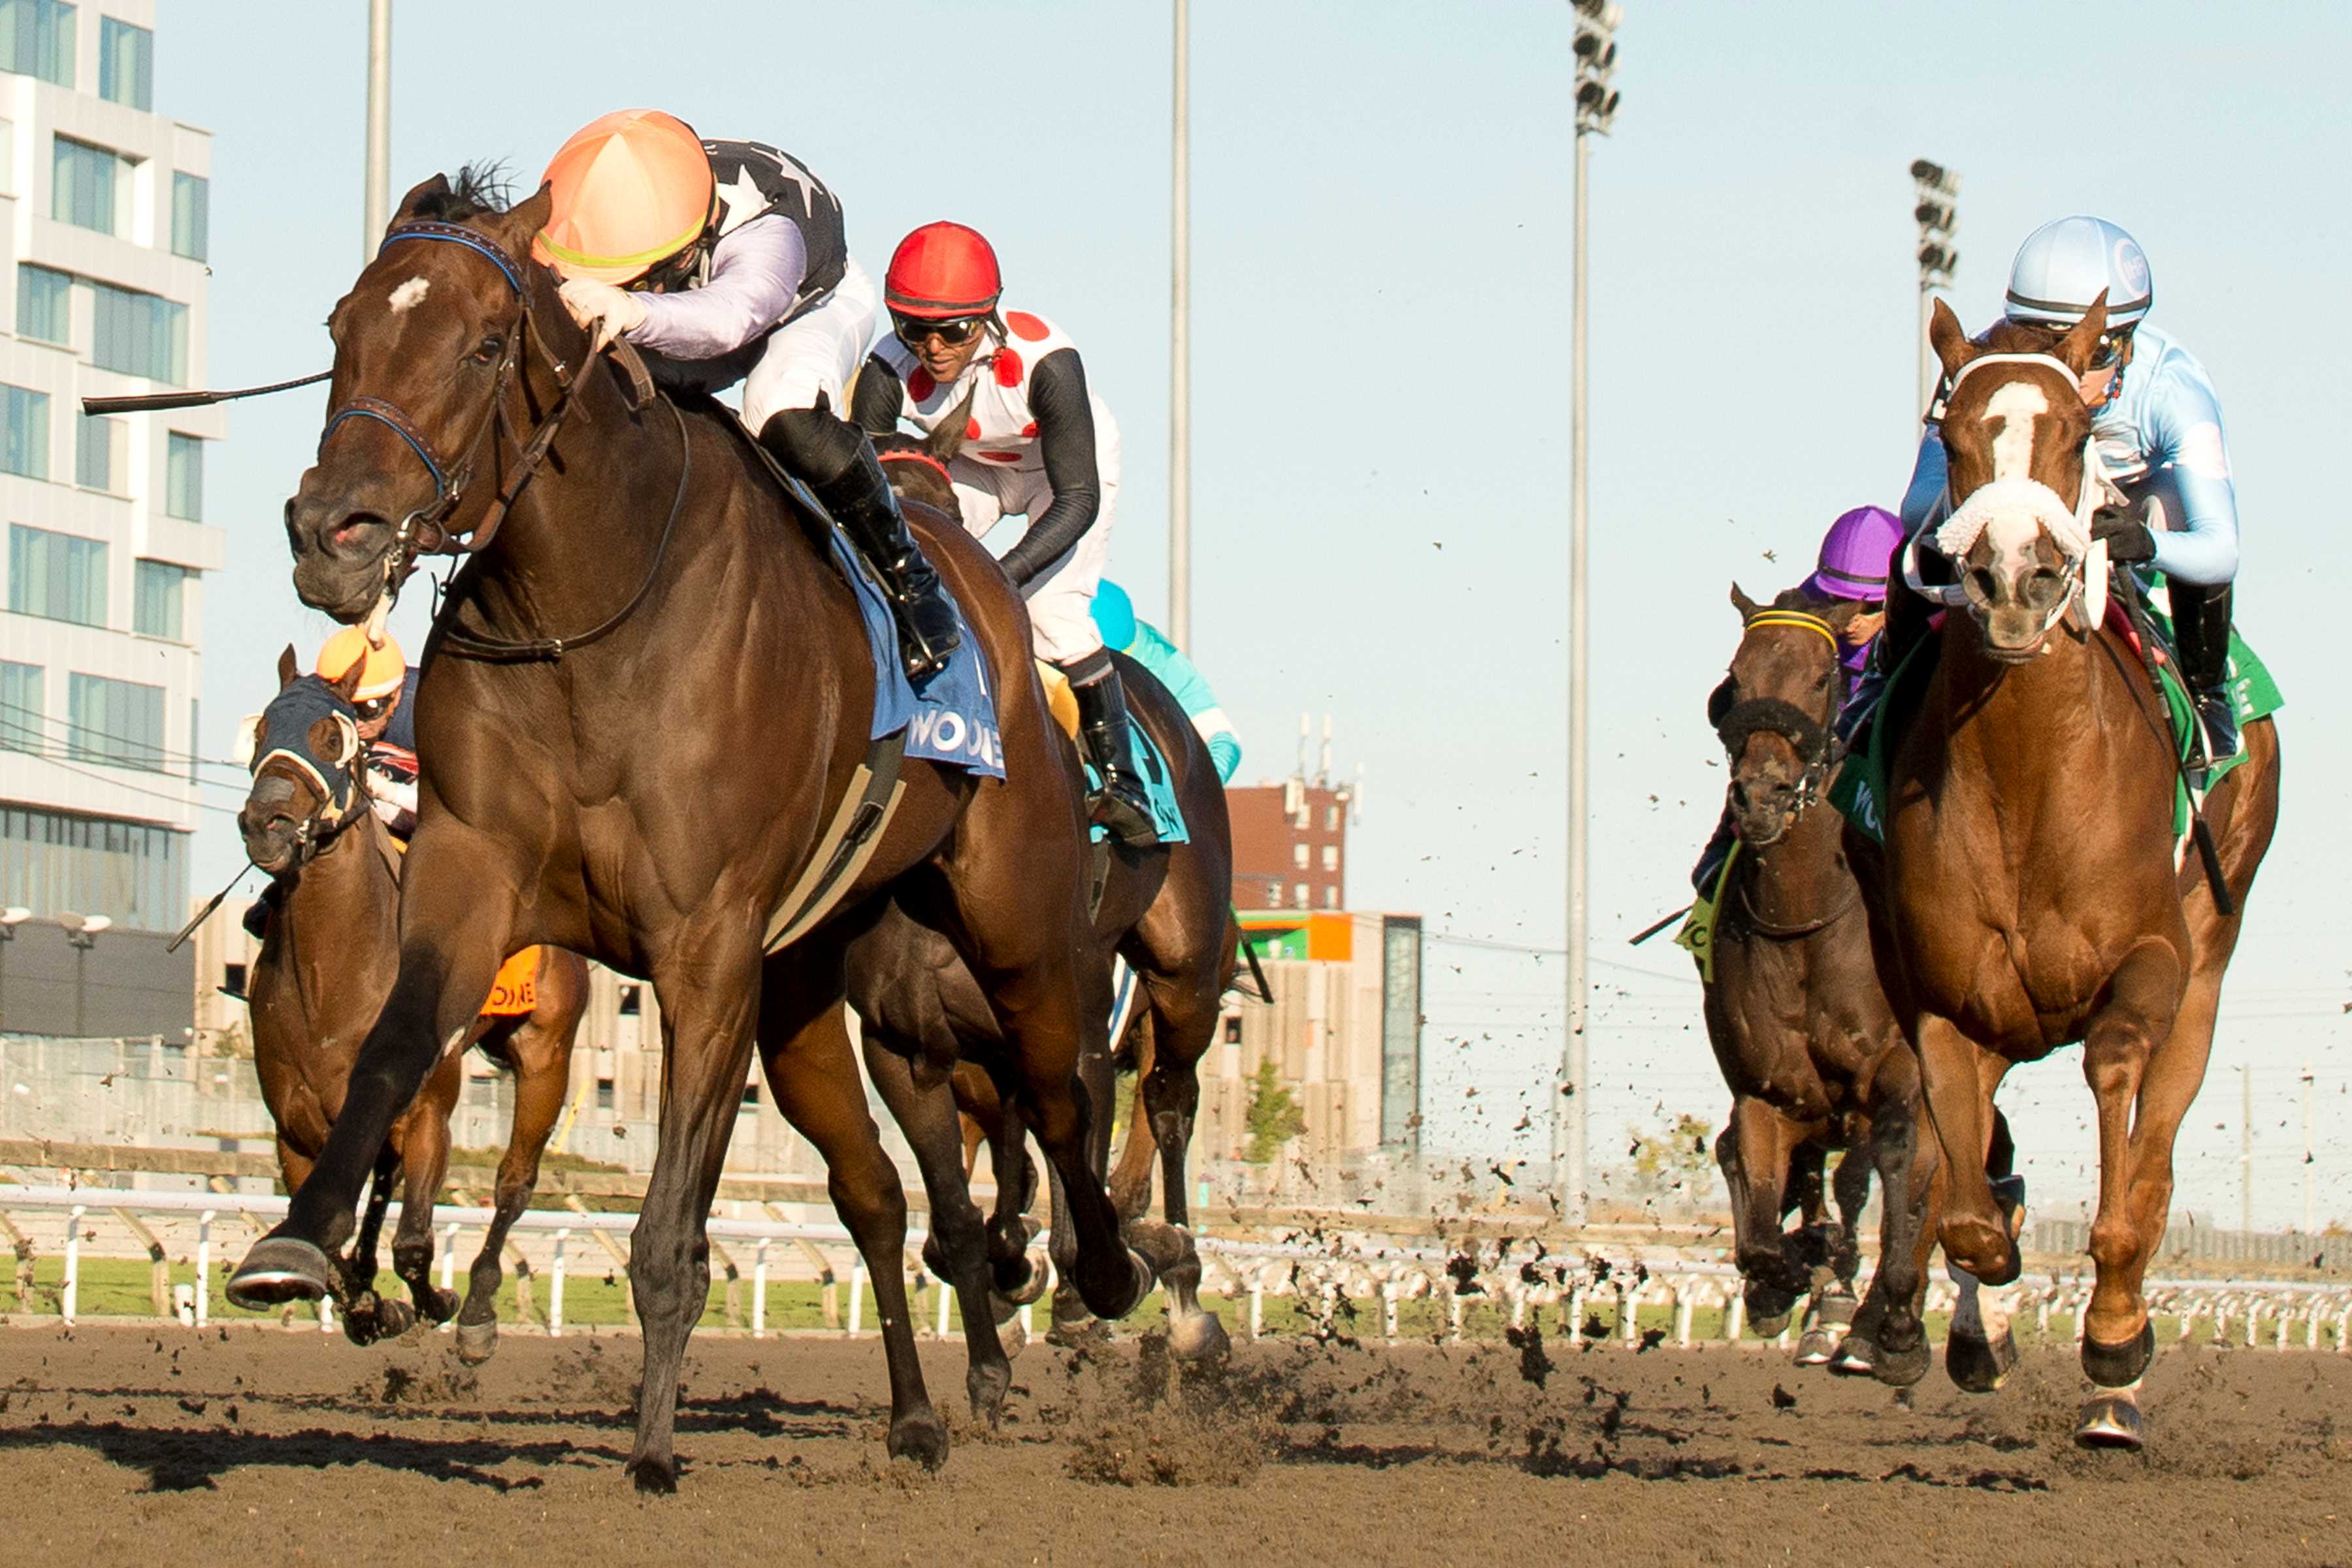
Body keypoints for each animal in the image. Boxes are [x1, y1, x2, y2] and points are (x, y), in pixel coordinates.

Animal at [237, 649, 588, 1363]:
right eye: (259, 733)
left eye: (332, 736)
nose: (265, 825)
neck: (332, 974)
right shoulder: (294, 1130)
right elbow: (332, 1242)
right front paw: (371, 1309)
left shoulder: (429, 1113)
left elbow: (417, 1245)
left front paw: (434, 1303)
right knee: (382, 1183)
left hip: (547, 1051)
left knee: (513, 1182)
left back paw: (477, 1308)